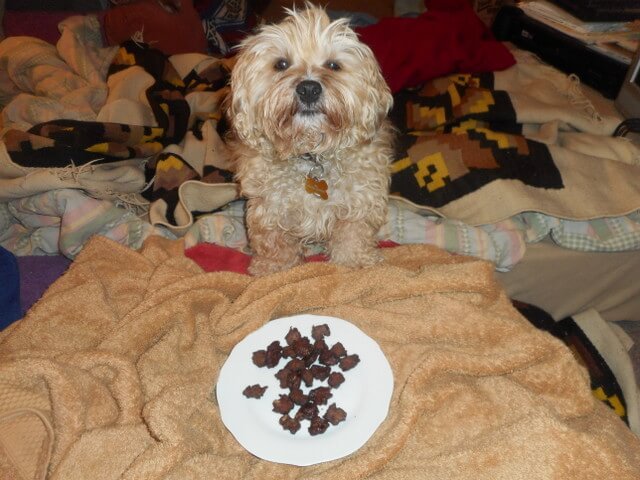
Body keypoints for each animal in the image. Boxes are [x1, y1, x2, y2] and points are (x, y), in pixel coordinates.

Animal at [228, 3, 392, 276]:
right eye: (281, 64)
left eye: (333, 65)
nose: (308, 89)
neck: (312, 153)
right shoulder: (270, 208)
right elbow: (275, 242)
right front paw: (274, 269)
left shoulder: (359, 202)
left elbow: (353, 236)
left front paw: (355, 263)